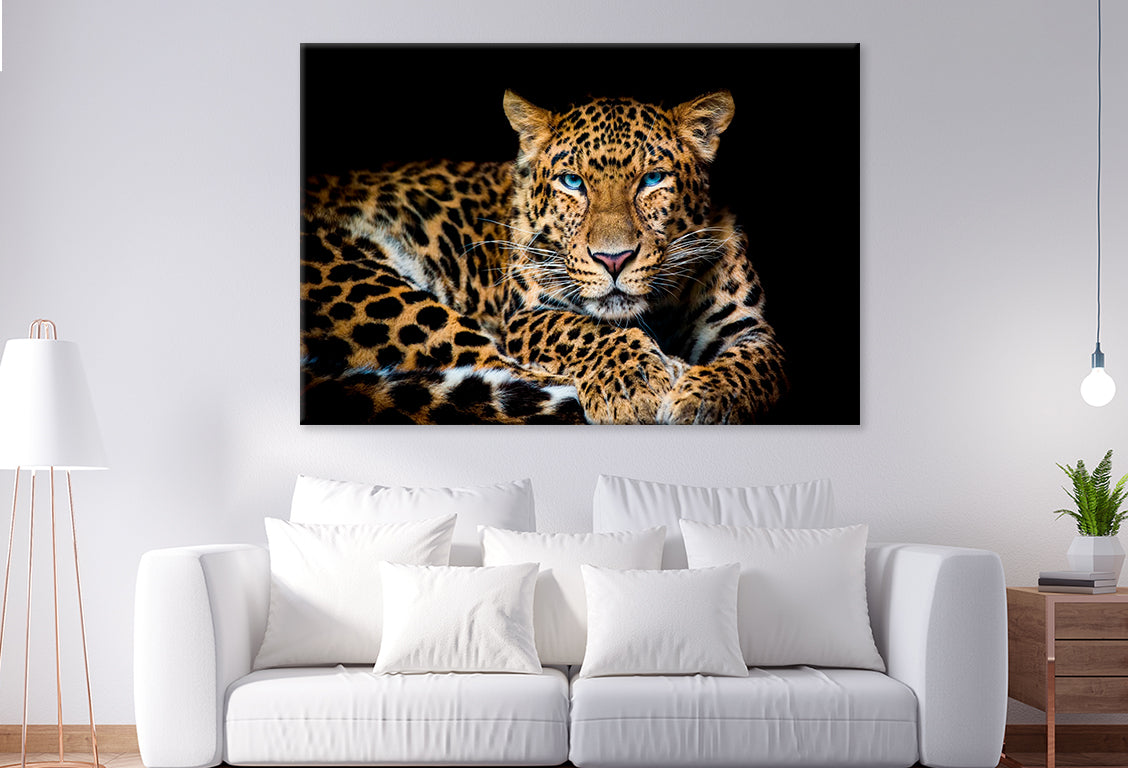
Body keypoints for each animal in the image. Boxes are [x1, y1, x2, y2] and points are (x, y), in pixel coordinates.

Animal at [301, 89, 787, 424]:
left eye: (653, 179)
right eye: (572, 182)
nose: (614, 260)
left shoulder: (750, 329)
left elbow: (754, 367)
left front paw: (705, 400)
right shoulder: (528, 315)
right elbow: (585, 330)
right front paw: (634, 383)